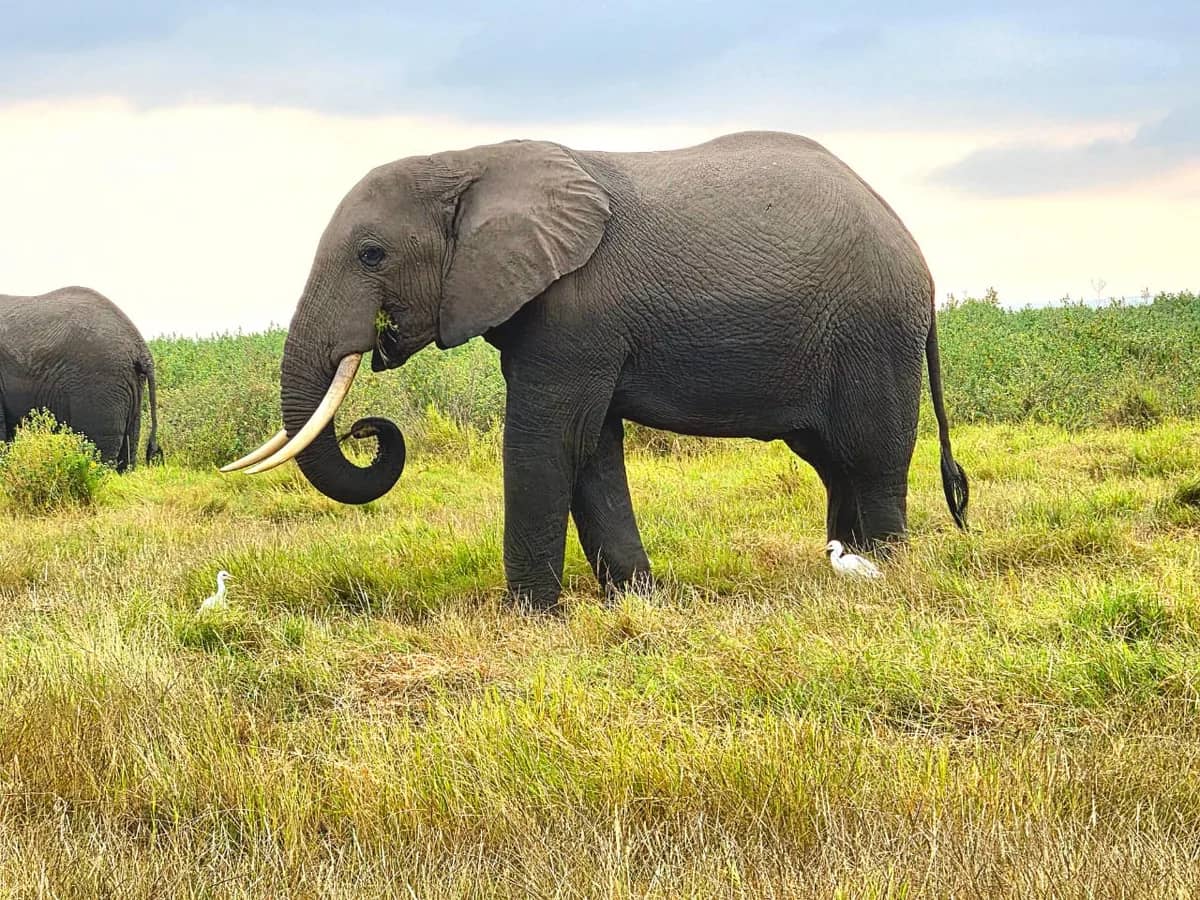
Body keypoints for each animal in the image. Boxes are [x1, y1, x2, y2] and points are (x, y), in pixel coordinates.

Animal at [227, 130, 969, 610]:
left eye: (372, 255)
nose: (366, 428)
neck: (468, 160)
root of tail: (918, 253)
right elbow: (593, 449)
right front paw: (638, 603)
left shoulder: (576, 312)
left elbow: (549, 442)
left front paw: (530, 617)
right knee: (831, 459)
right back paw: (842, 563)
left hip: (875, 332)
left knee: (870, 453)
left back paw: (888, 572)